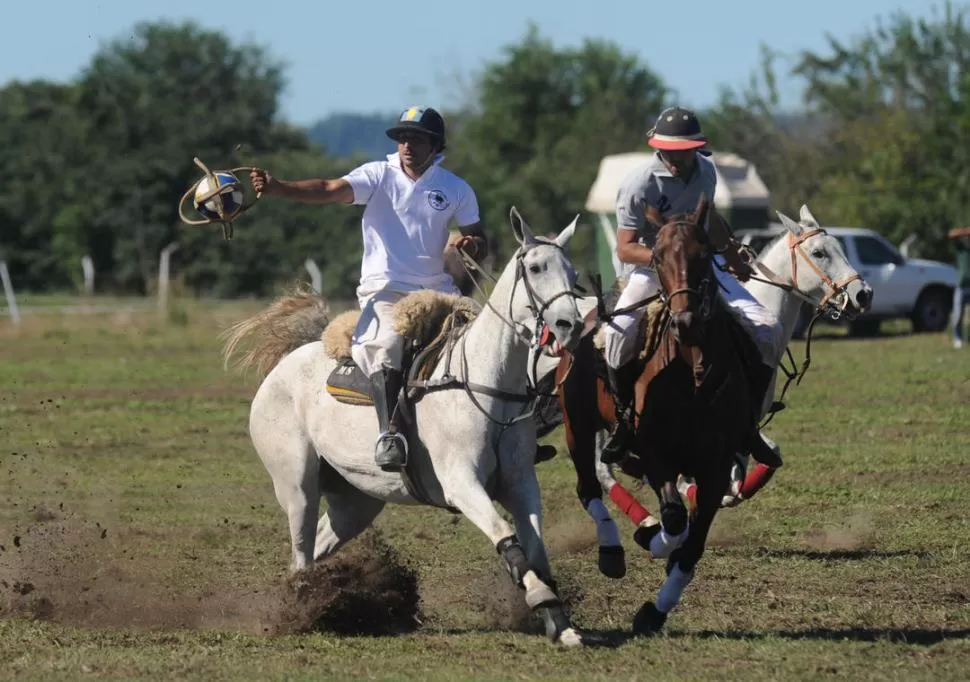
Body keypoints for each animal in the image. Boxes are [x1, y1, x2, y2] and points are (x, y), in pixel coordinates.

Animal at [223, 207, 588, 644]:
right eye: (535, 268)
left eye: (572, 271)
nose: (570, 325)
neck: (487, 381)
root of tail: (284, 363)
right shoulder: (461, 483)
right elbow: (506, 535)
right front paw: (541, 600)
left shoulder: (520, 483)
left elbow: (536, 549)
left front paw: (560, 623)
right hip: (297, 486)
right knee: (300, 549)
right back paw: (301, 612)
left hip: (357, 500)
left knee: (318, 547)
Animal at [556, 195, 760, 632]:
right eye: (658, 257)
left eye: (705, 254)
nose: (685, 322)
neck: (695, 377)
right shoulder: (657, 453)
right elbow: (673, 517)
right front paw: (652, 540)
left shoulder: (716, 467)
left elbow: (693, 542)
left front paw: (655, 609)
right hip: (577, 424)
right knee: (588, 486)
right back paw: (612, 552)